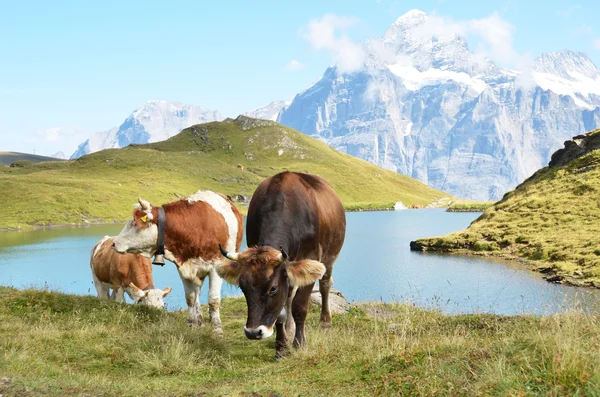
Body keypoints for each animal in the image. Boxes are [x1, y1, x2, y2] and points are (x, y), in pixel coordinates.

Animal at [112, 189, 244, 332]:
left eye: (134, 223)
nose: (114, 243)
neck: (196, 227)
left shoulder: (216, 266)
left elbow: (213, 300)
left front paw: (217, 329)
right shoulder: (183, 269)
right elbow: (190, 298)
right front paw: (191, 324)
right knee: (197, 294)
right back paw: (200, 320)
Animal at [218, 172, 344, 358]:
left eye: (273, 288)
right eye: (242, 287)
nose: (253, 333)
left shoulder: (311, 258)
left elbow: (300, 306)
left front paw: (299, 343)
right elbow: (281, 311)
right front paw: (281, 347)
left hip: (330, 256)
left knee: (325, 284)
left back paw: (325, 321)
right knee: (290, 295)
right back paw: (289, 329)